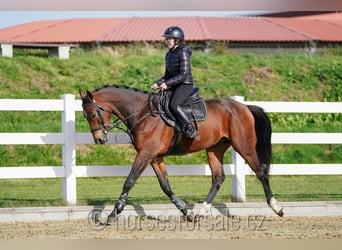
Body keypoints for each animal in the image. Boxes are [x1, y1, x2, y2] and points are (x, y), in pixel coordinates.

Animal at [79, 84, 284, 221]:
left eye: (92, 114)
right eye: (86, 116)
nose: (99, 139)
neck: (142, 113)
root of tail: (244, 107)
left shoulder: (145, 155)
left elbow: (129, 182)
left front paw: (114, 213)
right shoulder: (155, 158)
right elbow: (166, 186)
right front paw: (186, 211)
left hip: (244, 146)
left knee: (261, 172)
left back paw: (277, 208)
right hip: (215, 149)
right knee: (218, 178)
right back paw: (201, 212)